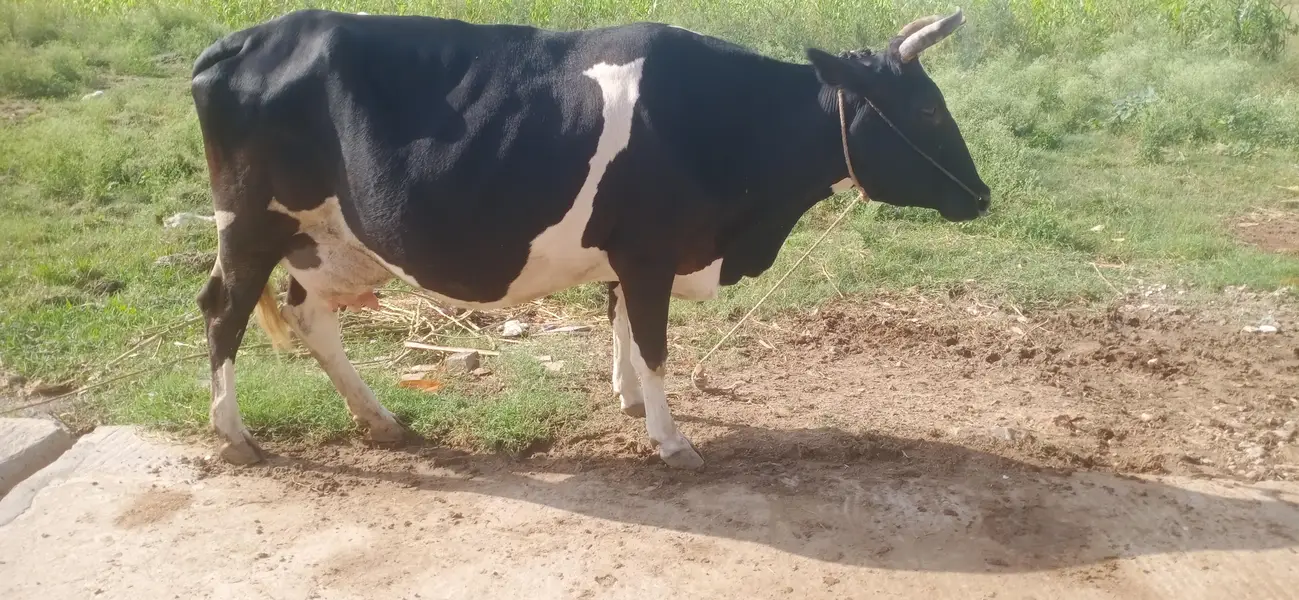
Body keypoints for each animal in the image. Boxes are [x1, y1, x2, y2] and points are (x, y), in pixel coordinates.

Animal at [190, 8, 990, 470]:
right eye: (925, 111)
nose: (981, 196)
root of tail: (247, 37)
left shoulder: (632, 255)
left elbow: (623, 324)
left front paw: (630, 400)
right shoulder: (650, 251)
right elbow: (656, 342)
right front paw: (671, 439)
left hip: (325, 237)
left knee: (308, 316)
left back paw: (380, 421)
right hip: (251, 222)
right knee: (224, 312)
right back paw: (236, 436)